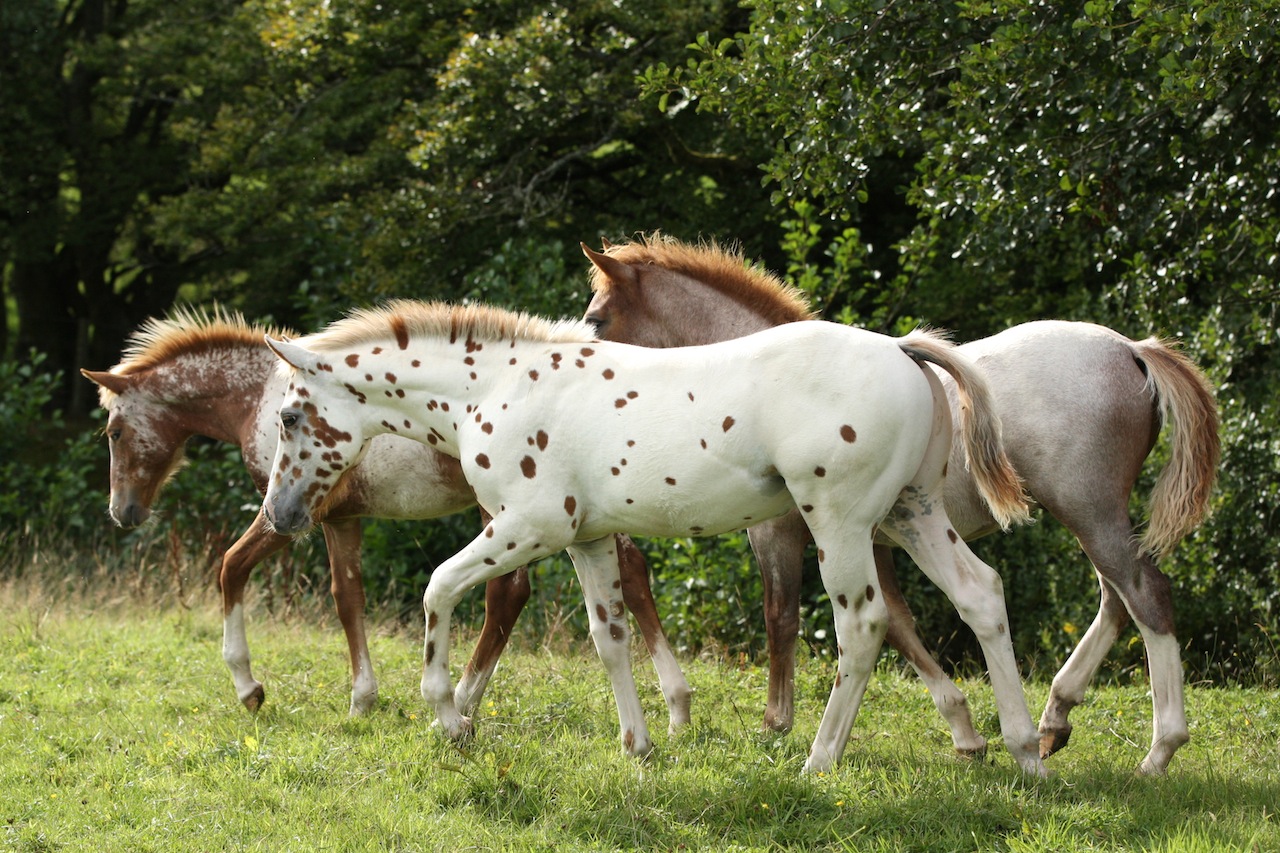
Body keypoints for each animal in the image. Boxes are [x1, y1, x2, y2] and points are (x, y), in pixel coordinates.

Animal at [80, 308, 692, 728]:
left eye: (114, 431)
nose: (122, 512)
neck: (259, 396)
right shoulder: (338, 519)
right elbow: (348, 595)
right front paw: (362, 697)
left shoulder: (301, 513)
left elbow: (236, 568)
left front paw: (254, 688)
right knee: (623, 573)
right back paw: (674, 706)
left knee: (511, 592)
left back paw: (465, 703)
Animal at [261, 299, 1048, 775]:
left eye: (293, 416)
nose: (280, 513)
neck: (495, 389)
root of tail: (903, 349)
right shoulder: (585, 539)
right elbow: (609, 635)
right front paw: (636, 744)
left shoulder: (528, 527)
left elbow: (438, 589)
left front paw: (450, 718)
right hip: (914, 512)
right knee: (982, 595)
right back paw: (1026, 752)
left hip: (842, 523)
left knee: (863, 626)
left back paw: (818, 761)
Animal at [580, 233, 1220, 776]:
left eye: (597, 317)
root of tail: (1132, 349)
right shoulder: (881, 540)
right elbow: (901, 625)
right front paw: (966, 733)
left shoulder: (784, 535)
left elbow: (784, 618)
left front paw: (775, 726)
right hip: (1093, 519)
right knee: (1117, 599)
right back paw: (1055, 719)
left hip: (1089, 512)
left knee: (1142, 593)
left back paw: (1158, 751)